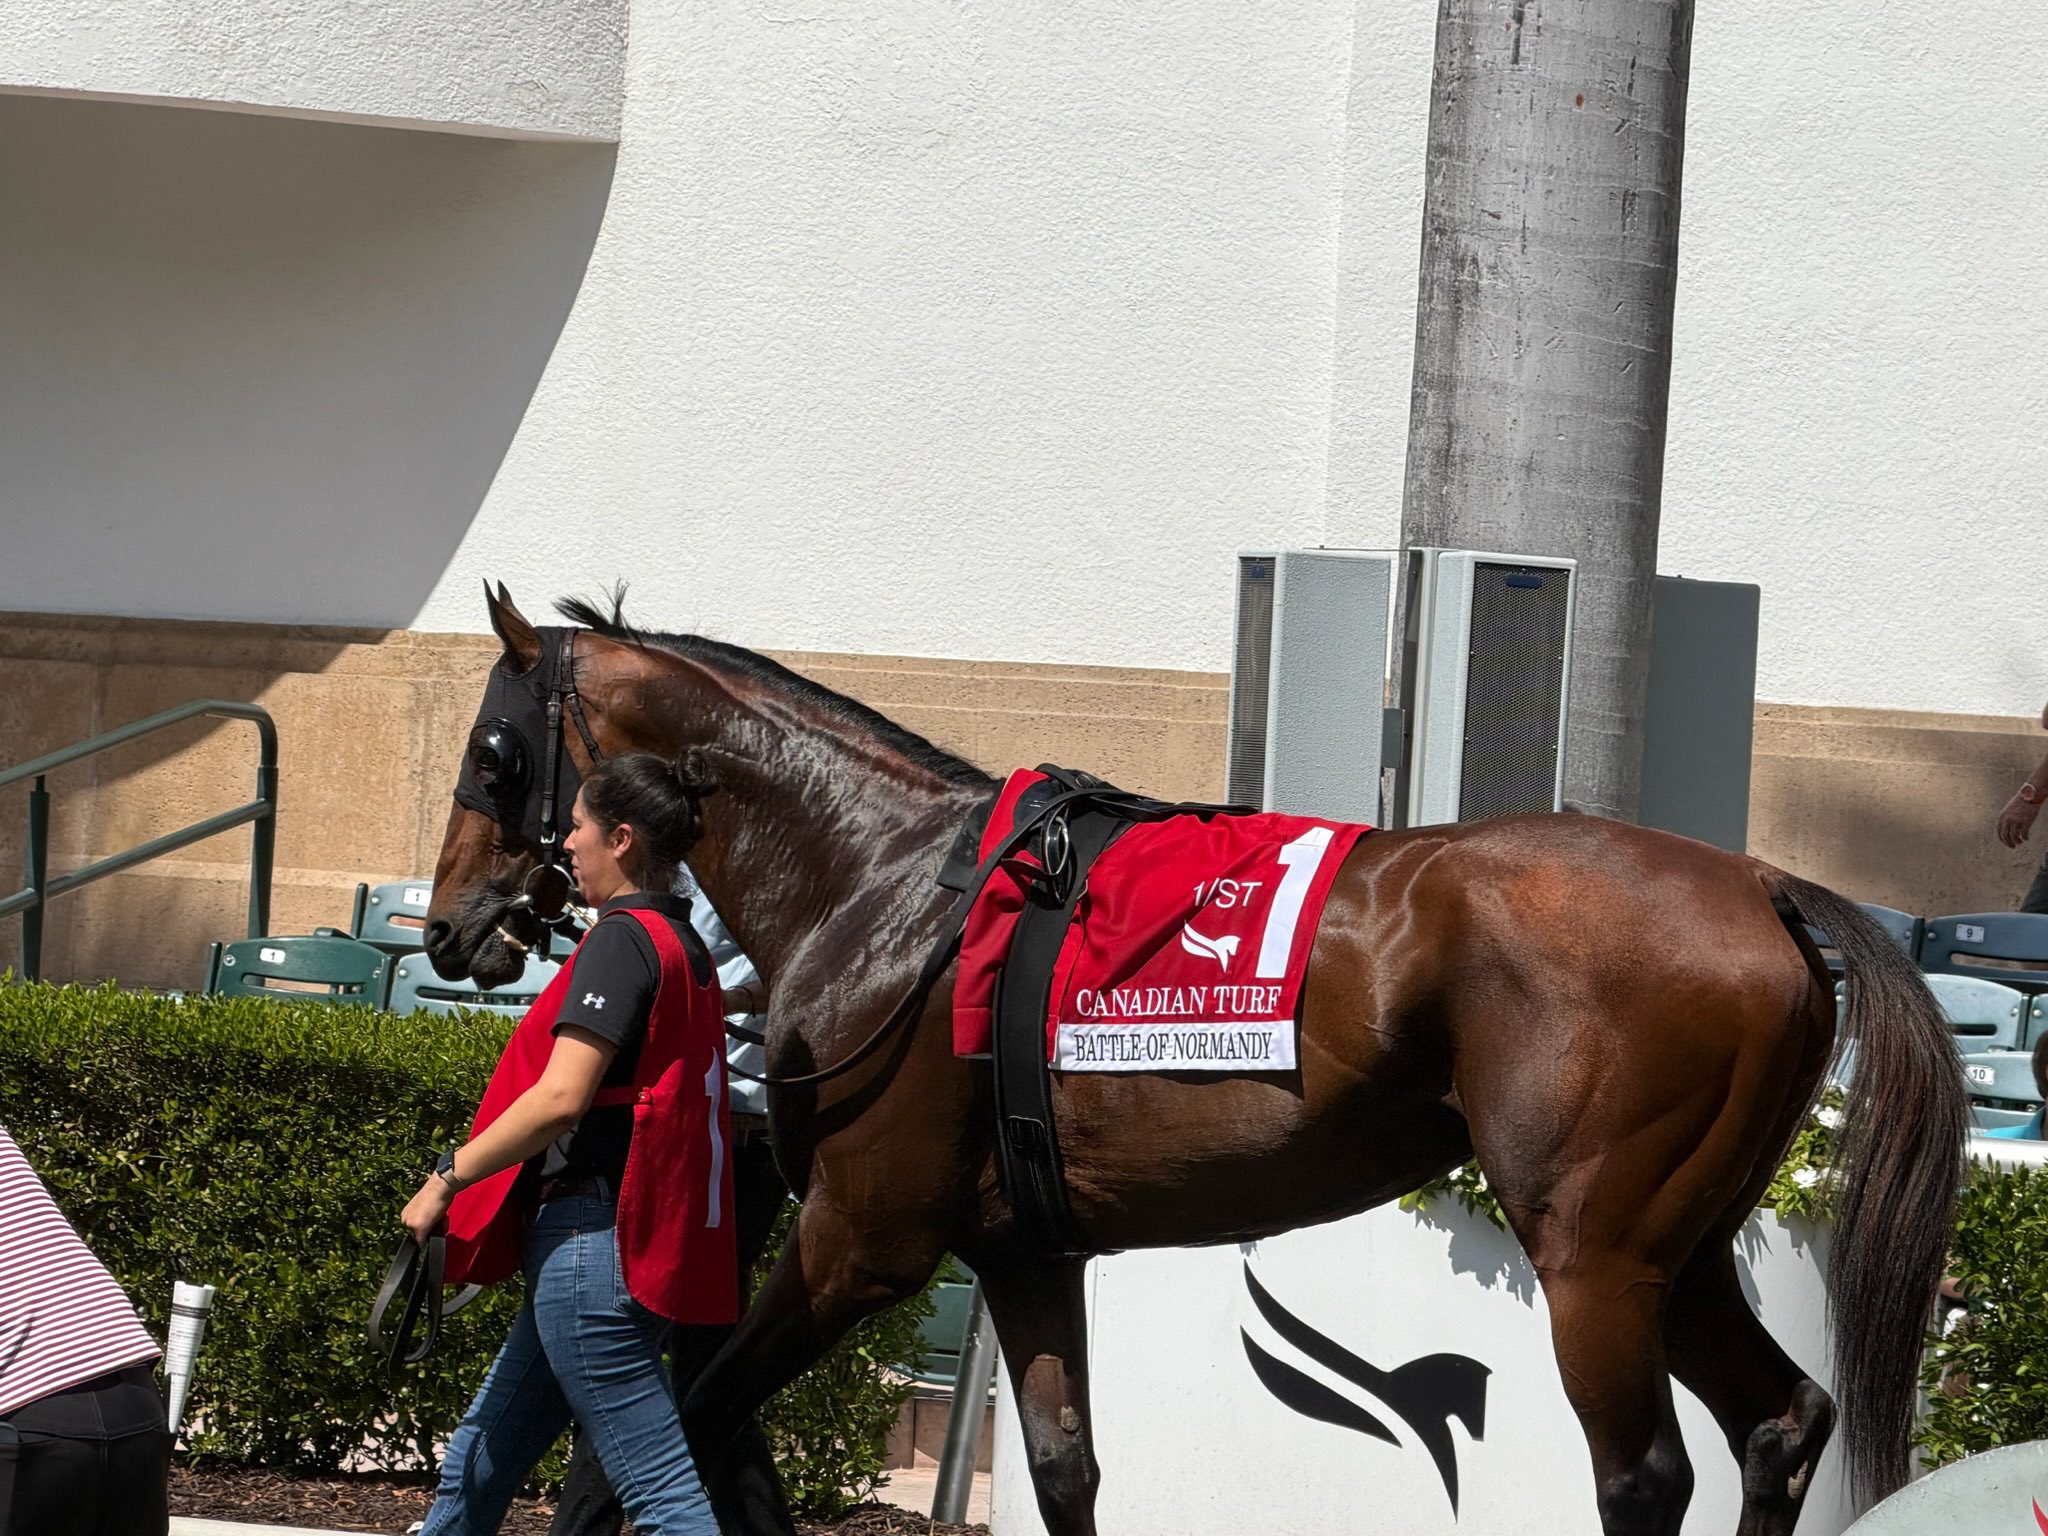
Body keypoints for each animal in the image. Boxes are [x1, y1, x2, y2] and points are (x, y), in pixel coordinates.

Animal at [422, 585, 1965, 1536]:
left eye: (493, 751)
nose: (449, 926)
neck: (888, 888)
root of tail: (1763, 885)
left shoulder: (861, 1241)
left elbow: (669, 1434)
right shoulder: (1022, 1253)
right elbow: (1063, 1468)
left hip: (1595, 1257)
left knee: (1643, 1475)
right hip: (1683, 1247)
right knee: (1780, 1423)